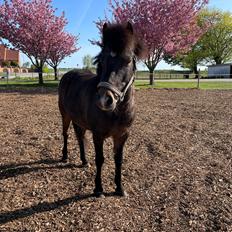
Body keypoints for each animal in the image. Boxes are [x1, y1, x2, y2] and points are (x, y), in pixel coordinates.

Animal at [58, 21, 143, 197]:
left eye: (128, 61)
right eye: (101, 60)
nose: (104, 100)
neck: (117, 112)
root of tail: (68, 74)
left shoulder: (122, 135)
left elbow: (118, 159)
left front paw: (119, 188)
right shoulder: (98, 135)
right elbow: (100, 159)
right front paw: (98, 189)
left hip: (79, 121)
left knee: (80, 137)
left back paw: (84, 161)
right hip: (65, 116)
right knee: (65, 134)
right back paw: (65, 156)